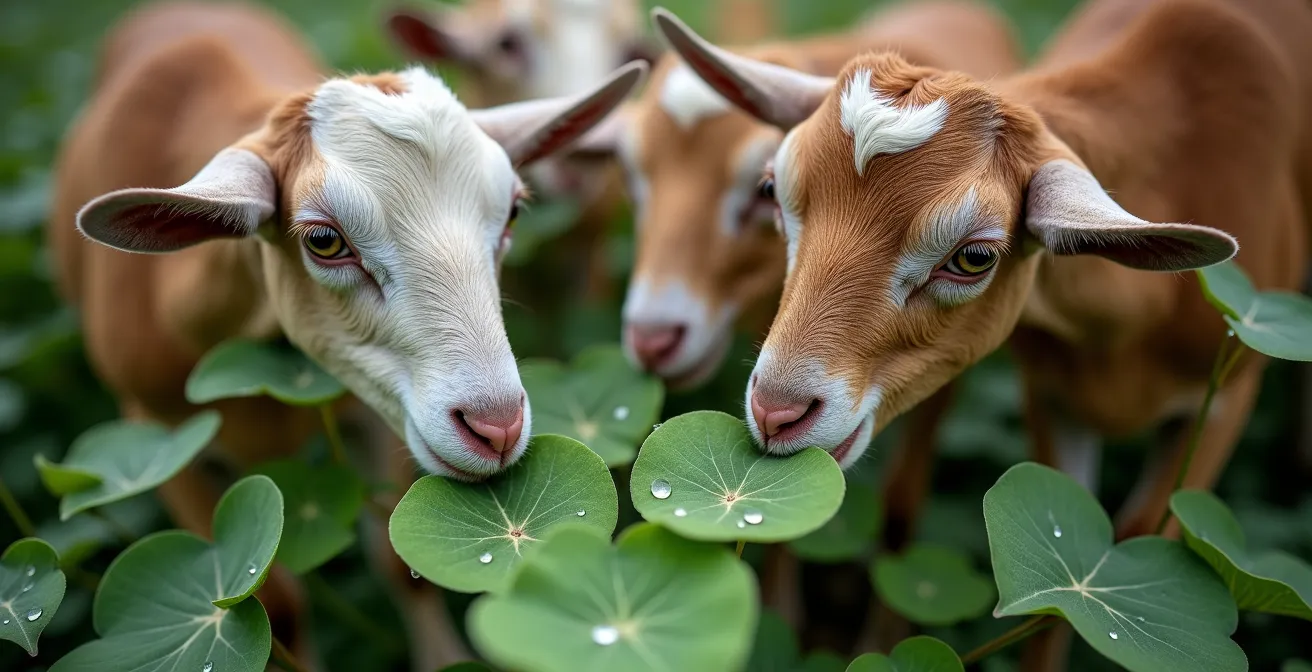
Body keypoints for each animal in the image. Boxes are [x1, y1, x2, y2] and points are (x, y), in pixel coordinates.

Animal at [49, 2, 644, 669]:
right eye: (324, 241)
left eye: (513, 212)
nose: (496, 427)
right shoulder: (162, 441)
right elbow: (274, 607)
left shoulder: (378, 413)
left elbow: (397, 561)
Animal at [656, 0, 1311, 664]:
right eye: (772, 192)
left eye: (974, 258)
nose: (776, 412)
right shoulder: (1051, 400)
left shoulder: (1224, 400)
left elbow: (1136, 536)